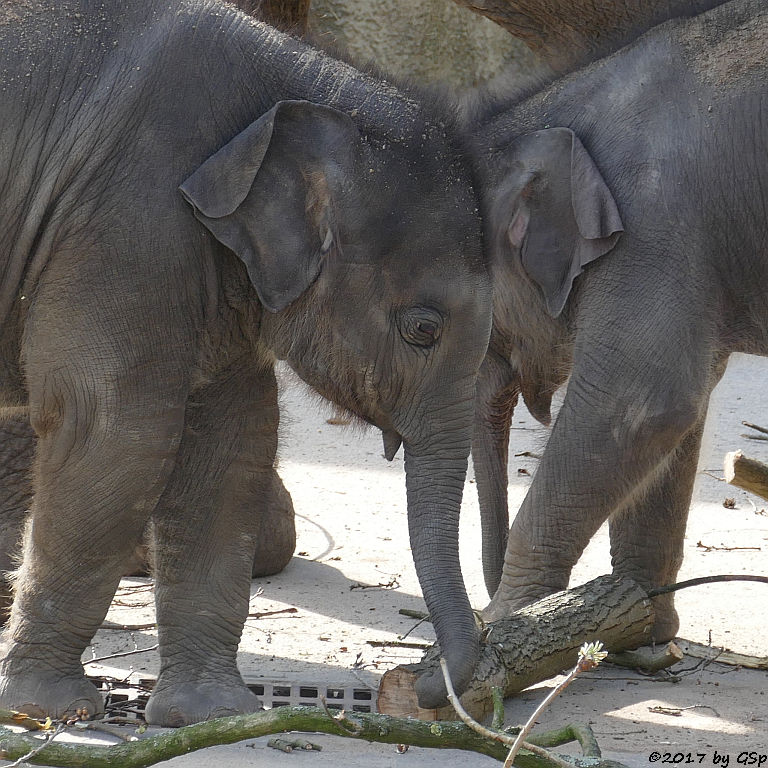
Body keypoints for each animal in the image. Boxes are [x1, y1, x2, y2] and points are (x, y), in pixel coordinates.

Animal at [0, 0, 492, 728]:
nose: (419, 678)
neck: (298, 90)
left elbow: (231, 444)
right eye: (423, 330)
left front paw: (212, 715)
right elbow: (118, 434)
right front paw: (50, 710)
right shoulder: (128, 221)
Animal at [468, 0, 768, 636]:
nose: (481, 602)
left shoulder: (652, 224)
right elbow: (681, 415)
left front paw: (507, 623)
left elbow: (641, 405)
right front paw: (644, 627)